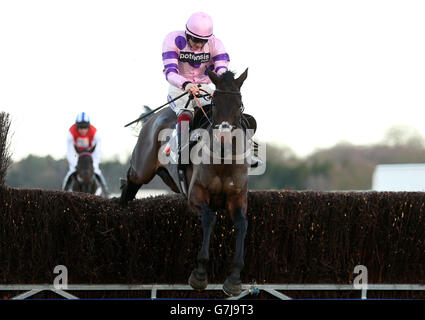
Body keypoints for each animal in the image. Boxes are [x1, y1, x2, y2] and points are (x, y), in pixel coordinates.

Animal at [119, 69, 250, 296]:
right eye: (214, 103)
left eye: (239, 104)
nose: (224, 137)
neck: (222, 161)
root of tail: (153, 117)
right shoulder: (196, 196)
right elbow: (209, 219)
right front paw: (199, 274)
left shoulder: (237, 198)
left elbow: (242, 225)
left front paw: (234, 279)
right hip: (142, 168)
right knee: (131, 180)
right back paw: (121, 207)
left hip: (169, 178)